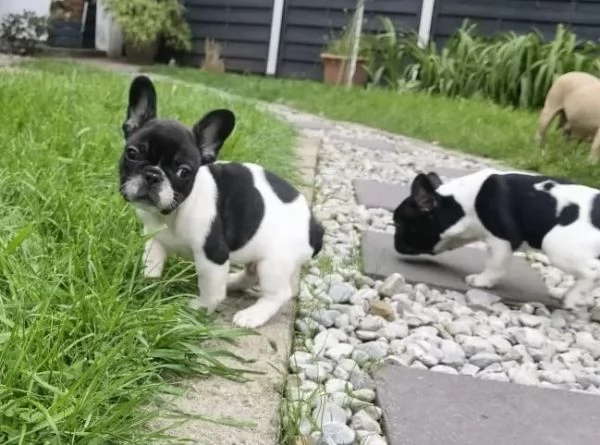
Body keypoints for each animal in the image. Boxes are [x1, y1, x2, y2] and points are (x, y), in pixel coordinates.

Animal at [118, 75, 324, 326]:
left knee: (278, 293)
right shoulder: (154, 239)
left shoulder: (213, 256)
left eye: (184, 172)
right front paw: (146, 289)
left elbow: (210, 290)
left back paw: (252, 315)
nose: (152, 175)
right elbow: (151, 266)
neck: (174, 212)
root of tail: (315, 226)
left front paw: (198, 309)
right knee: (251, 273)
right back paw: (233, 281)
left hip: (275, 263)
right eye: (132, 153)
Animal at [392, 168, 600, 310]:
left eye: (398, 224)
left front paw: (482, 281)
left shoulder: (501, 240)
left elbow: (495, 264)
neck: (461, 203)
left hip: (556, 245)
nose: (396, 243)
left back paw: (573, 298)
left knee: (592, 272)